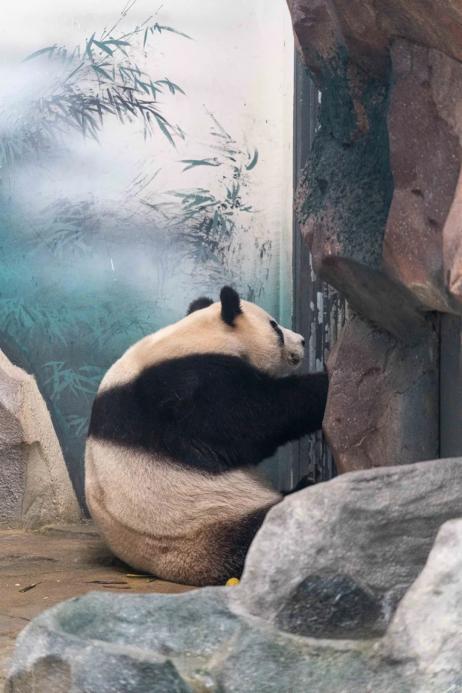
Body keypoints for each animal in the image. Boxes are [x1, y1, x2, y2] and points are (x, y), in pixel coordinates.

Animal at [85, 286, 328, 586]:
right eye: (275, 327)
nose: (302, 341)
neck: (196, 337)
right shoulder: (186, 389)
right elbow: (252, 420)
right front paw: (325, 383)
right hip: (211, 523)